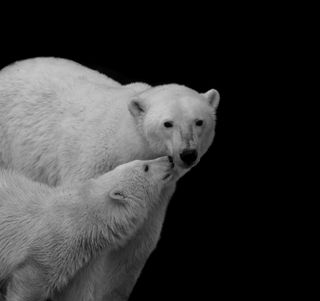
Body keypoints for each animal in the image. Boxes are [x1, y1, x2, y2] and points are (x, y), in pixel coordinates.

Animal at [0, 156, 174, 298]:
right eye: (146, 167)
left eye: (143, 162)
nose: (170, 159)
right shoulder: (47, 251)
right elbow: (30, 284)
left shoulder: (82, 264)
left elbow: (76, 292)